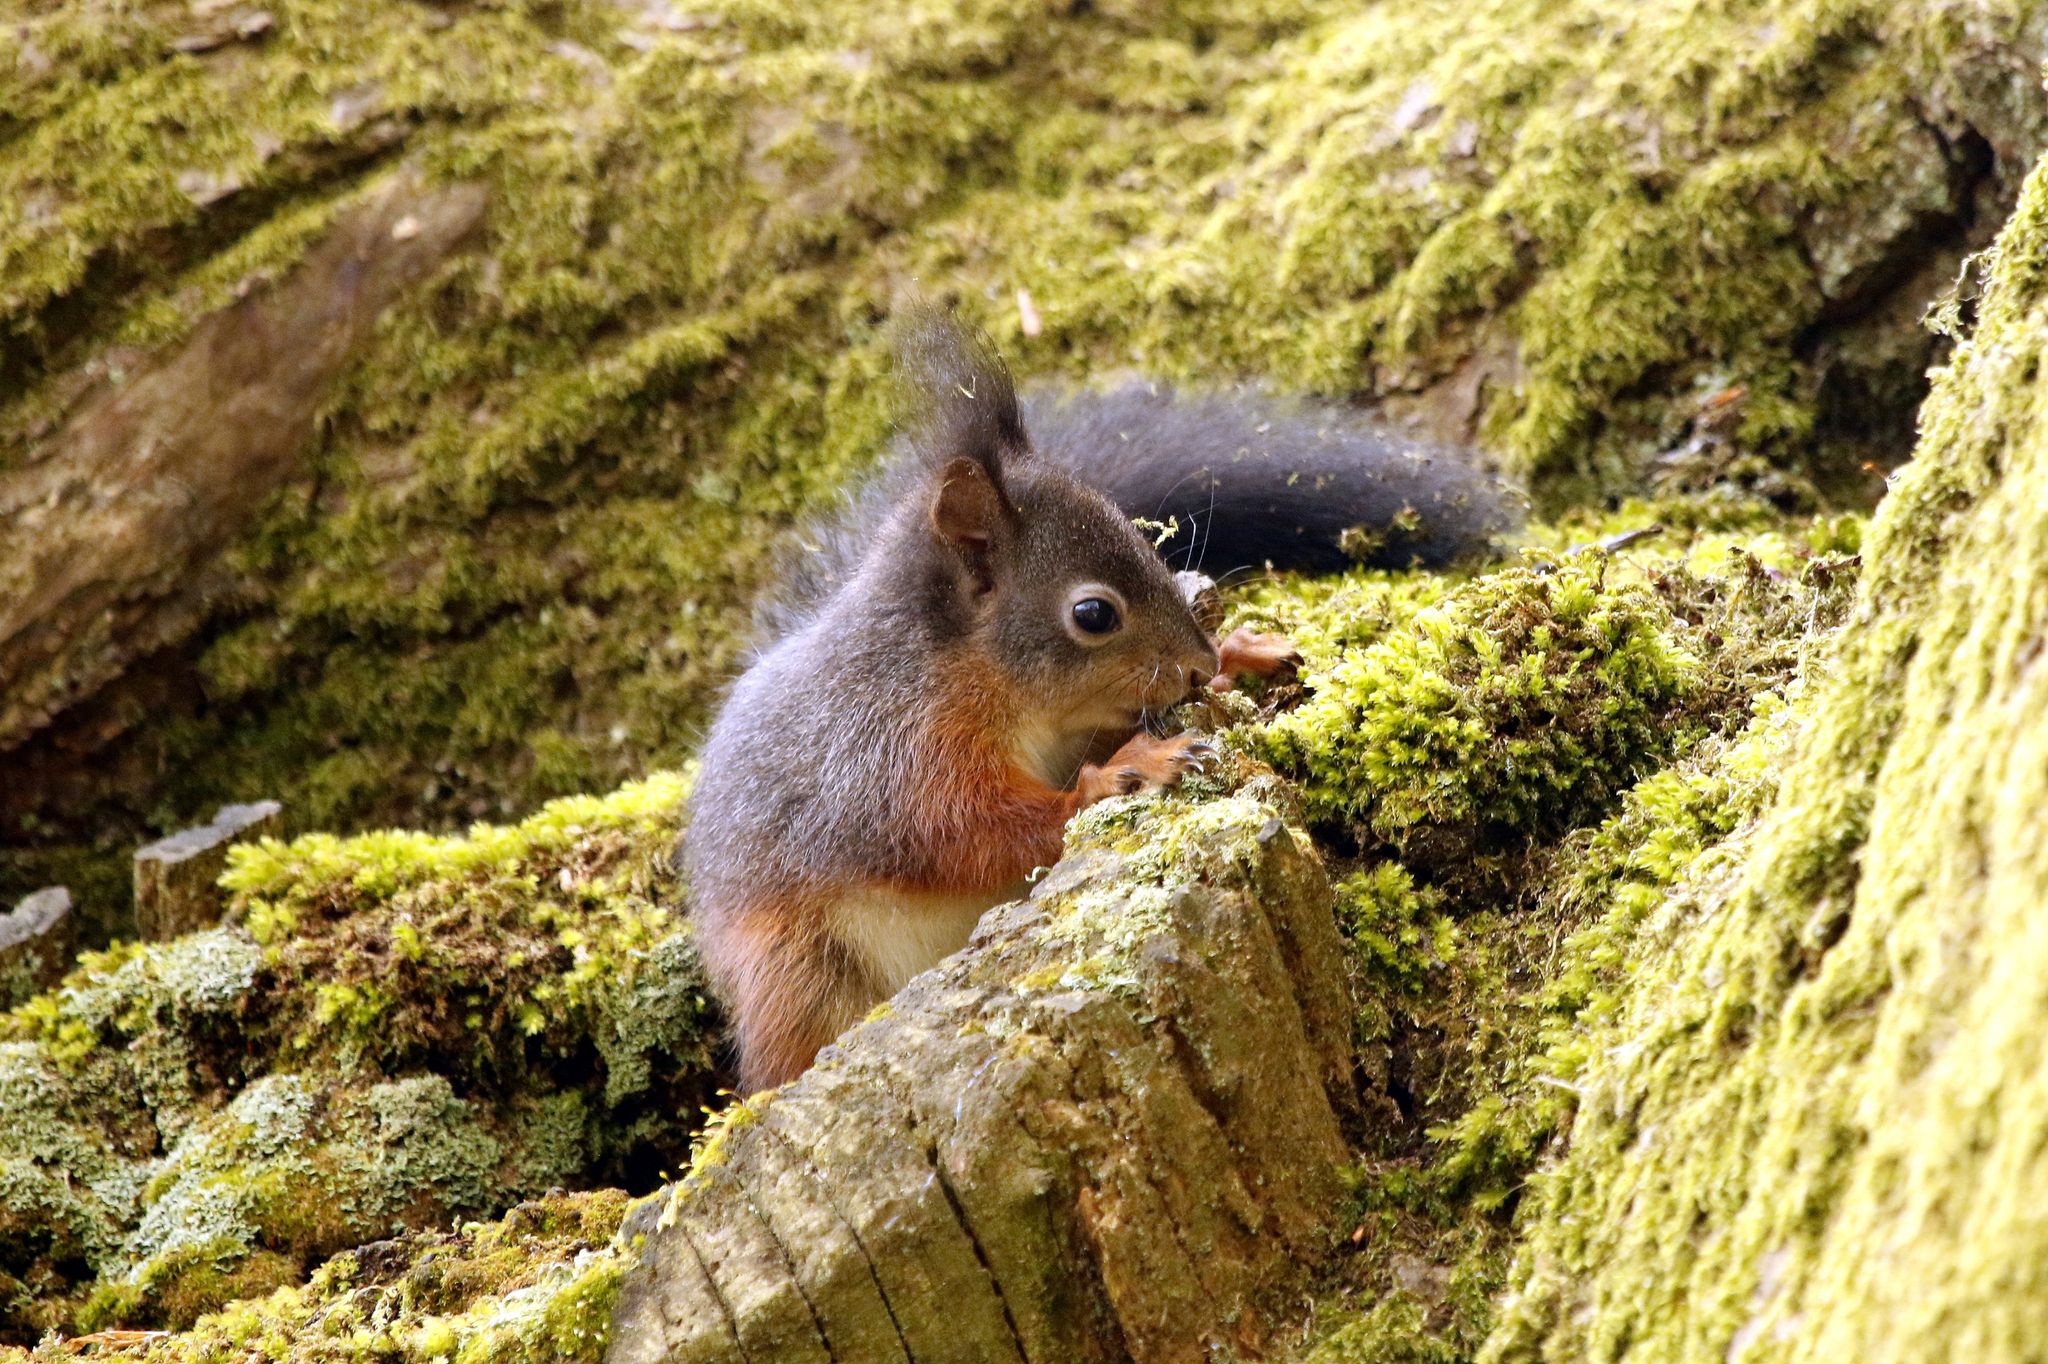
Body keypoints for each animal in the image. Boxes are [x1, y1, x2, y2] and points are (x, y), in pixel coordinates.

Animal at [679, 303, 1515, 1089]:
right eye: (1093, 614)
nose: (1195, 664)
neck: (976, 674)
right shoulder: (888, 761)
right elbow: (970, 832)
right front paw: (1125, 771)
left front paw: (1235, 655)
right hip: (798, 973)